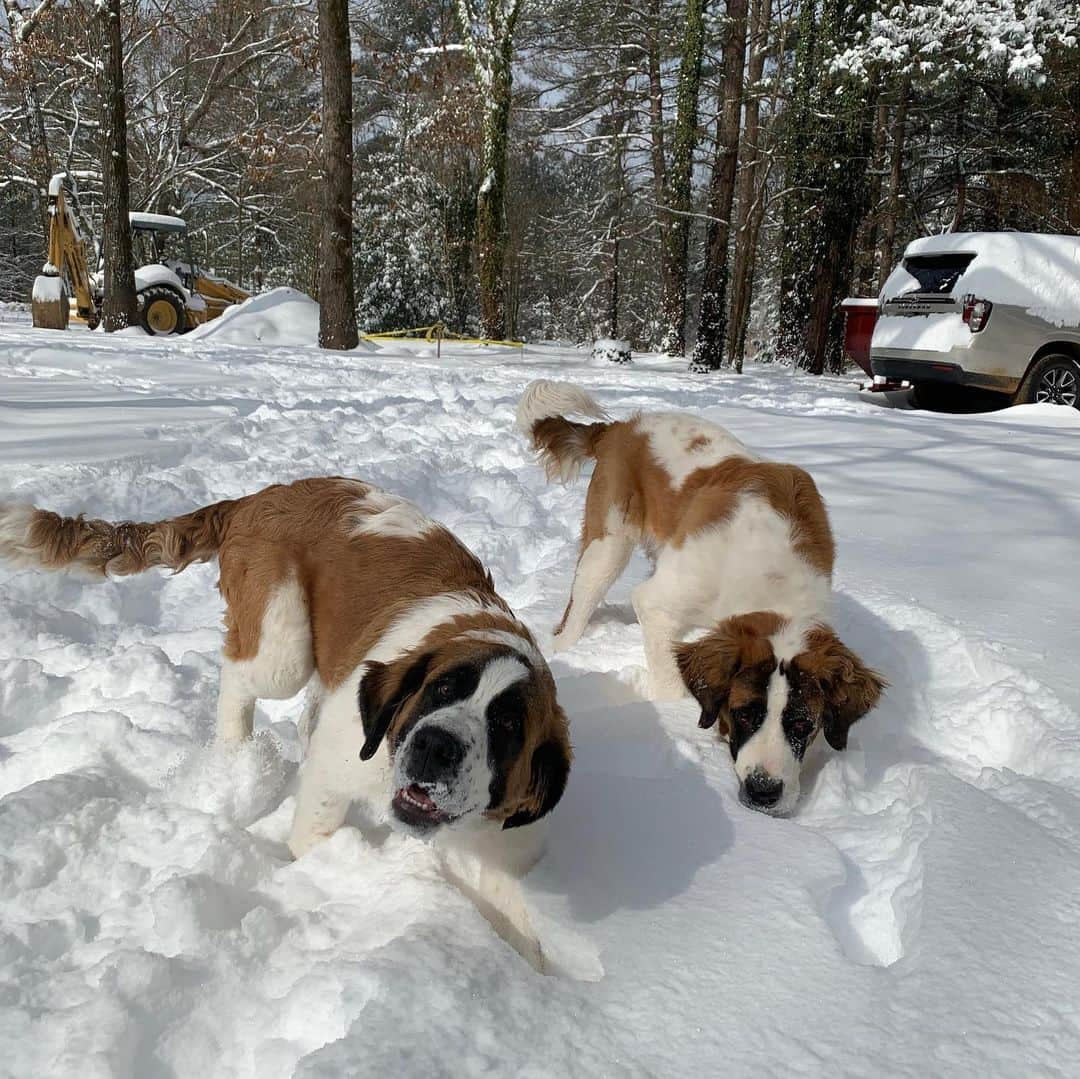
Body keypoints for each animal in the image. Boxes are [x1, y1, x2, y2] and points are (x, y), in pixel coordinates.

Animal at [0, 477, 574, 881]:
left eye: (507, 727)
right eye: (442, 690)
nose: (436, 746)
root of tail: (261, 496)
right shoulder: (341, 761)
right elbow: (316, 830)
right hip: (283, 642)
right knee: (241, 678)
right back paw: (236, 758)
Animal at [516, 384, 885, 812]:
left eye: (801, 724)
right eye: (744, 714)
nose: (764, 791)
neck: (770, 579)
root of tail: (624, 426)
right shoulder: (659, 603)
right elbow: (671, 681)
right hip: (608, 548)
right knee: (576, 613)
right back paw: (565, 647)